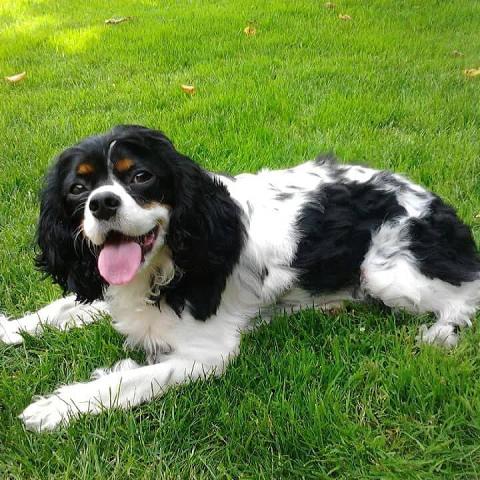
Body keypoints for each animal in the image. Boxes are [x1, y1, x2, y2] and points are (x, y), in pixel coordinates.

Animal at [0, 124, 480, 432]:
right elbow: (59, 308)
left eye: (141, 176)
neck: (169, 259)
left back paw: (440, 333)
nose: (101, 204)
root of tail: (436, 201)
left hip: (387, 272)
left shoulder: (207, 354)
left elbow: (131, 380)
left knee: (467, 293)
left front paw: (57, 407)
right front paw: (10, 330)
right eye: (78, 189)